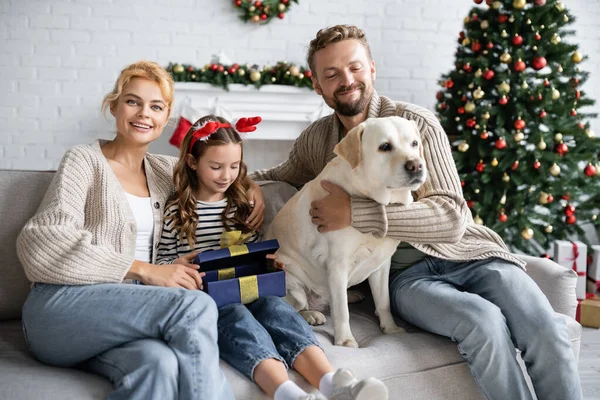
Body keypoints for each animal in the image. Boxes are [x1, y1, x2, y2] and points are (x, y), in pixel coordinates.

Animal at [264, 115, 426, 346]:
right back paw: (313, 314)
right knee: (298, 307)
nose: (416, 165)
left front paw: (391, 329)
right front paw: (345, 341)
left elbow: (383, 301)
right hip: (292, 282)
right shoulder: (338, 265)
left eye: (414, 143)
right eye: (385, 146)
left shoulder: (382, 265)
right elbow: (342, 312)